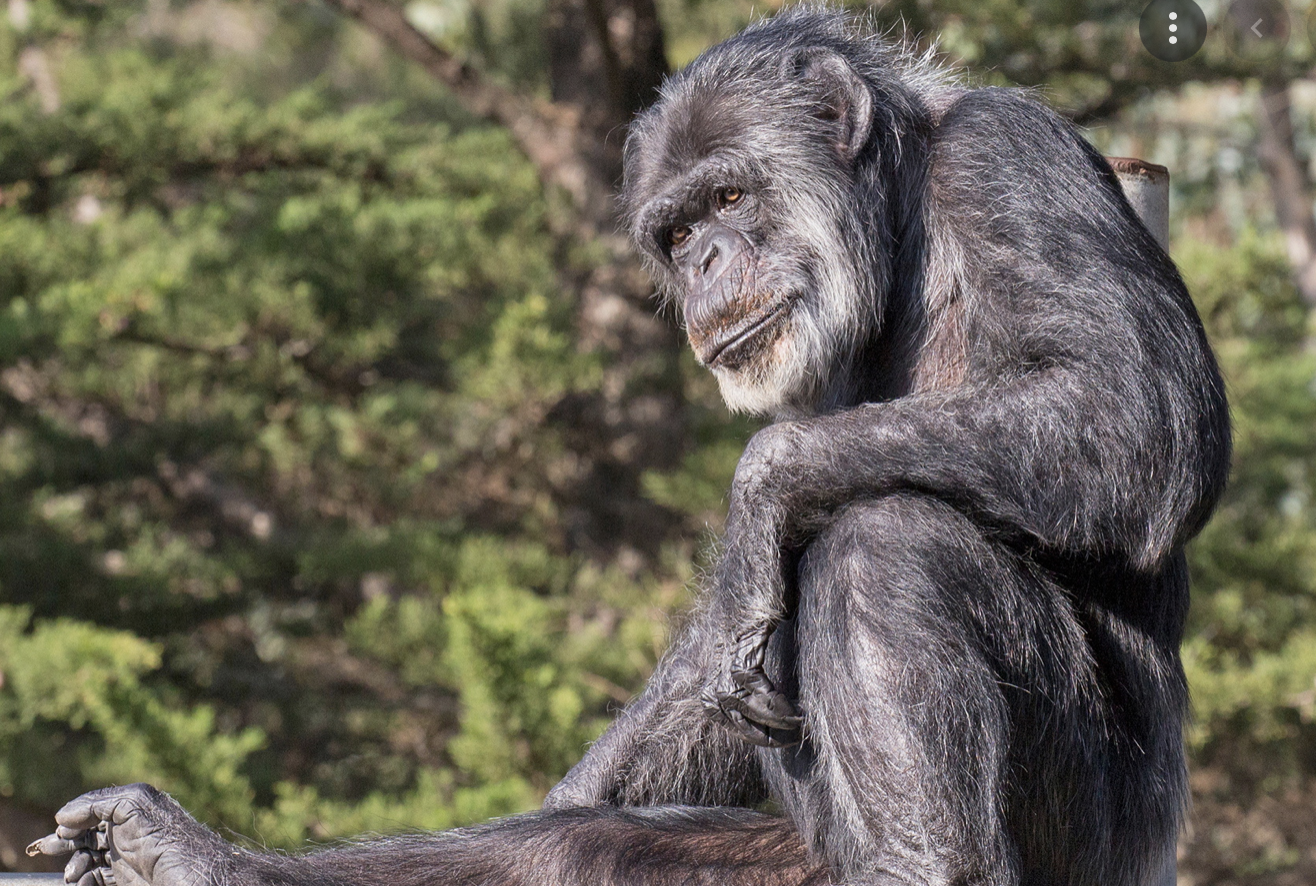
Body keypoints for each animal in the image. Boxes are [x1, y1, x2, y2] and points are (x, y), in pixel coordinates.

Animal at [25, 8, 1226, 884]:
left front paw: (758, 494)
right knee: (576, 847)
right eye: (677, 229)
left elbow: (1135, 415)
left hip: (1097, 840)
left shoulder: (1010, 160)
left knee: (889, 539)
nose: (702, 264)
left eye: (731, 192)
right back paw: (197, 859)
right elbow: (709, 665)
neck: (898, 218)